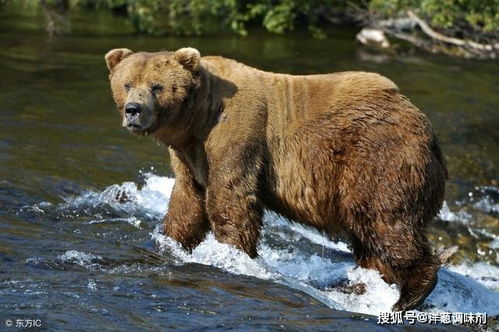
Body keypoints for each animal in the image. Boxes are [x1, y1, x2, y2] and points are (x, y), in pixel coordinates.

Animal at [105, 46, 450, 312]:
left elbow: (230, 197)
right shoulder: (190, 155)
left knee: (386, 221)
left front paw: (231, 255)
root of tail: (428, 131)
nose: (134, 110)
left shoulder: (238, 134)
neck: (198, 119)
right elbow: (188, 201)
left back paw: (408, 294)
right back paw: (354, 287)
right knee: (369, 239)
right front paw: (169, 241)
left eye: (157, 86)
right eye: (127, 83)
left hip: (377, 158)